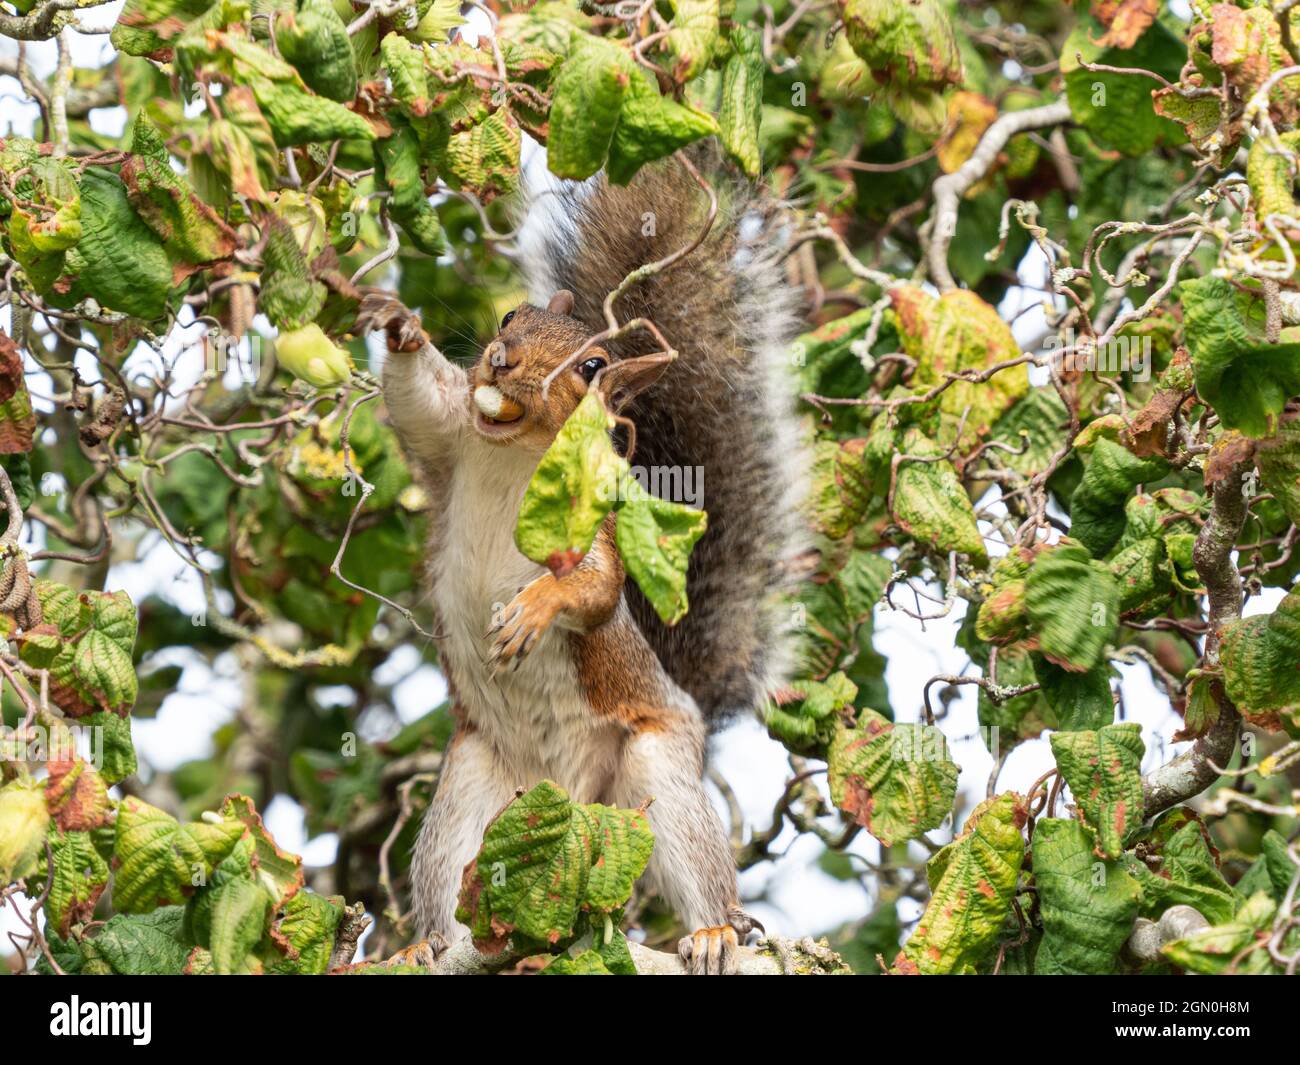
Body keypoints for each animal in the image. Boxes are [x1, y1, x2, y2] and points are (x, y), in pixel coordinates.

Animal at [371, 145, 806, 977]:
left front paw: (535, 609)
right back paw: (427, 942)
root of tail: (572, 801)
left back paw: (715, 930)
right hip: (471, 789)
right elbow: (418, 401)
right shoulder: (448, 441)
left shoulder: (595, 523)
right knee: (449, 867)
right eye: (512, 317)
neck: (515, 453)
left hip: (656, 764)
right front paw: (401, 330)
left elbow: (599, 588)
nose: (502, 362)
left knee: (692, 844)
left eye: (594, 364)